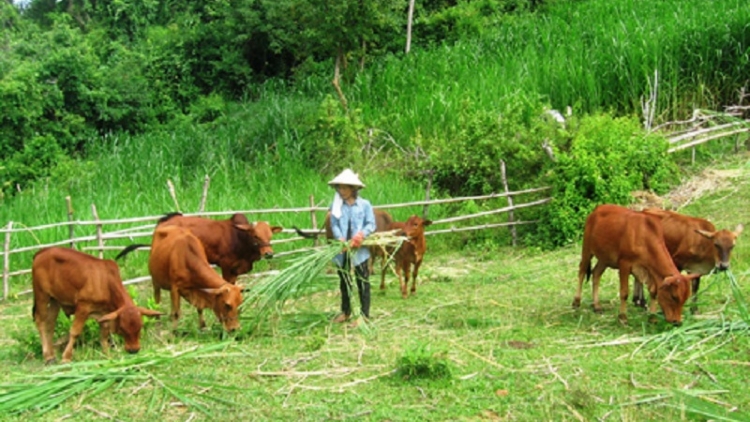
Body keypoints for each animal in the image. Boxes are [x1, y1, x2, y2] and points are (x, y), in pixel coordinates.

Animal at [32, 247, 163, 362]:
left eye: (140, 326)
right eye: (122, 328)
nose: (133, 350)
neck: (106, 282)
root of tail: (41, 252)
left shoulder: (104, 313)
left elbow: (104, 334)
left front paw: (107, 355)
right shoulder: (83, 307)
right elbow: (75, 332)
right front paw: (66, 358)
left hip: (55, 300)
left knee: (50, 324)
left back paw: (51, 355)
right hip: (41, 295)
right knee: (40, 321)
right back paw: (47, 356)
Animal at [116, 213, 284, 286]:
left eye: (270, 236)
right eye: (256, 236)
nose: (268, 253)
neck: (239, 237)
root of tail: (163, 222)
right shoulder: (226, 266)